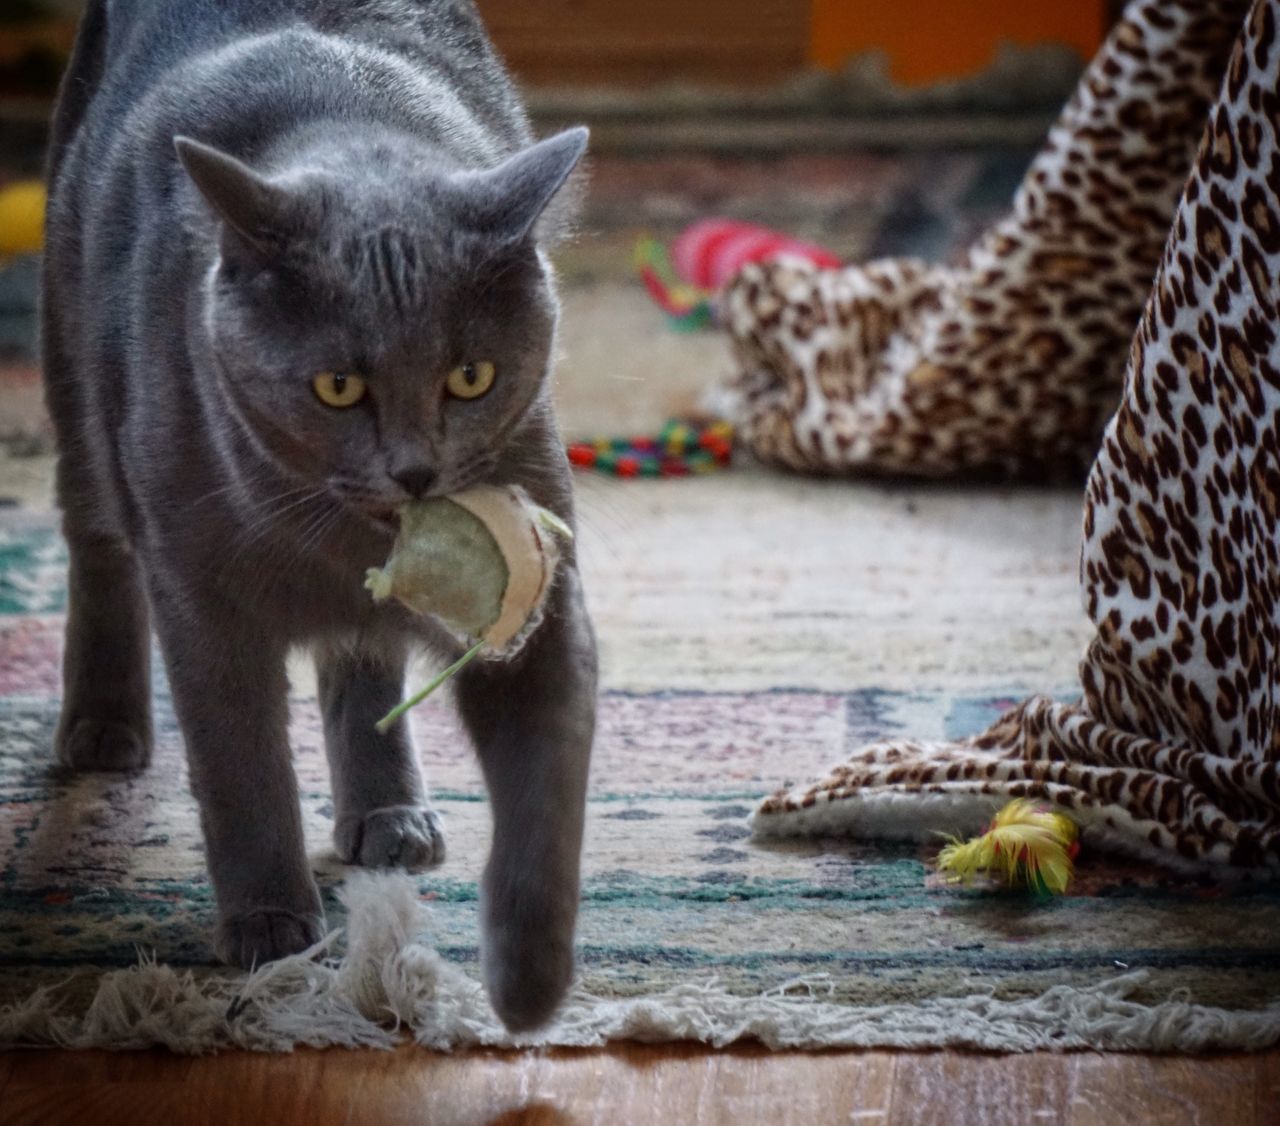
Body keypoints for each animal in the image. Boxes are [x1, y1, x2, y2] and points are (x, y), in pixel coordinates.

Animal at [41, 0, 593, 1033]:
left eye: (472, 376)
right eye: (338, 387)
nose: (415, 471)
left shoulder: (540, 598)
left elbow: (547, 786)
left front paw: (529, 984)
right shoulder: (198, 593)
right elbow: (239, 759)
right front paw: (269, 927)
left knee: (360, 653)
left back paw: (390, 818)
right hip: (77, 380)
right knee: (95, 544)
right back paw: (102, 727)